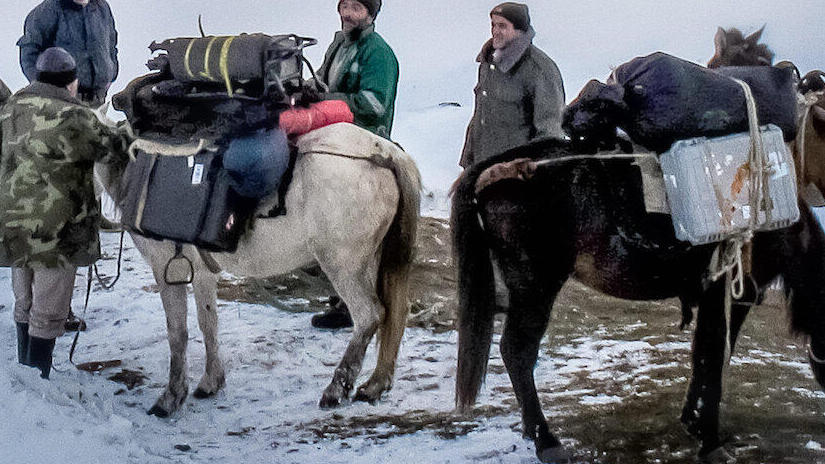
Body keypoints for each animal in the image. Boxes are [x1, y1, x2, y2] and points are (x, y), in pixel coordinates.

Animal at [94, 120, 422, 416]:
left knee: (370, 315)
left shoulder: (167, 269)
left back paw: (336, 388)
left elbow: (178, 333)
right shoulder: (202, 273)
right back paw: (376, 383)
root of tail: (383, 152)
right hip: (374, 260)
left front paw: (171, 397)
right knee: (395, 312)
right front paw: (211, 382)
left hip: (344, 264)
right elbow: (208, 323)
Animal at [454, 29, 824, 464]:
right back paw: (546, 440)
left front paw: (693, 420)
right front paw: (709, 437)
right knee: (517, 351)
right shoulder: (733, 292)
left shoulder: (716, 294)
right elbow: (715, 355)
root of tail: (499, 167)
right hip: (535, 286)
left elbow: (704, 355)